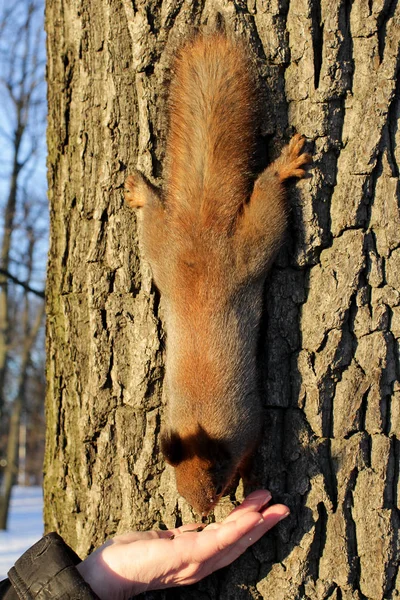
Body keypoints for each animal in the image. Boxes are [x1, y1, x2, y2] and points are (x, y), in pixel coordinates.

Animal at [124, 32, 310, 516]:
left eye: (218, 478)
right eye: (176, 474)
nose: (204, 510)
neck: (199, 420)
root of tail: (202, 234)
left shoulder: (248, 425)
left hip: (250, 243)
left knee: (268, 196)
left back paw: (284, 166)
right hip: (162, 252)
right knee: (155, 216)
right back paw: (142, 191)